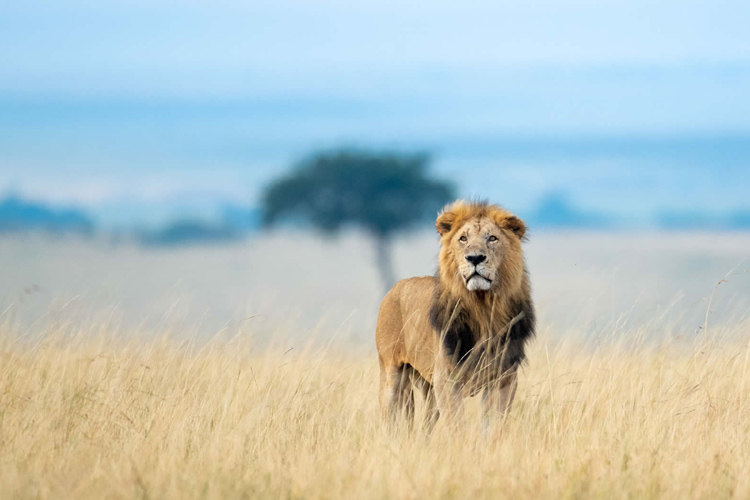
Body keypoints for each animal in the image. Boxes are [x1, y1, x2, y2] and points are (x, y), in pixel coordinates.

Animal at [376, 199, 536, 430]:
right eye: (463, 239)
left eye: (492, 238)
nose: (475, 258)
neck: (483, 309)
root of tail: (394, 288)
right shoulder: (447, 379)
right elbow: (456, 425)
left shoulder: (504, 379)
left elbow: (493, 426)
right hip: (392, 375)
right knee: (389, 418)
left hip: (429, 391)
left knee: (423, 428)